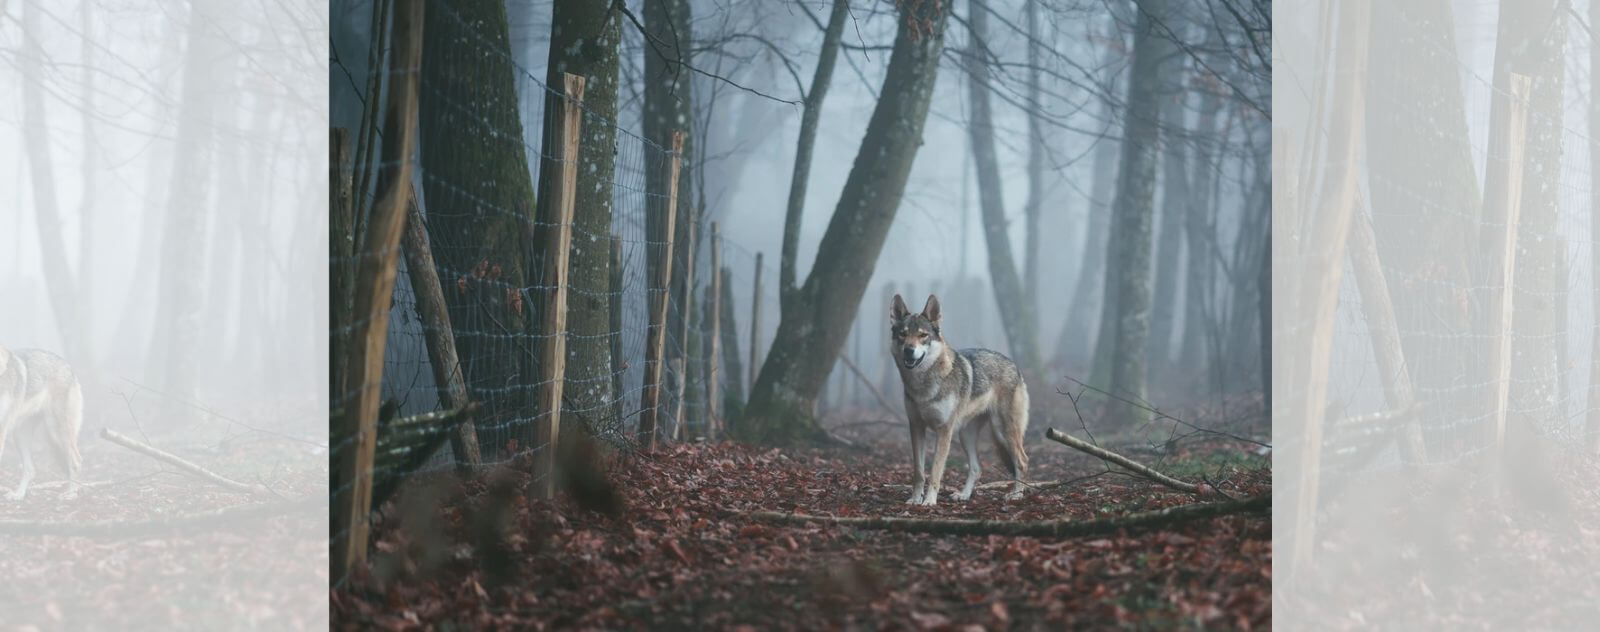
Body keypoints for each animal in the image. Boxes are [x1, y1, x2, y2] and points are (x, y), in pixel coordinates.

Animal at [0, 344, 83, 502]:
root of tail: (68, 366)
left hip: (57, 432)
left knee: (76, 461)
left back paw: (71, 493)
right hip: (20, 436)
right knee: (31, 470)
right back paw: (18, 495)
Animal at [889, 294, 1024, 508]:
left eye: (922, 335)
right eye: (903, 334)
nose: (909, 350)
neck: (923, 386)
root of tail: (1014, 364)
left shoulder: (944, 430)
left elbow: (935, 471)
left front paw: (929, 501)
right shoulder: (916, 427)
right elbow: (919, 472)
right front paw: (915, 499)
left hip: (1003, 431)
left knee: (1022, 461)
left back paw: (1017, 494)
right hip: (965, 435)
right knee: (977, 468)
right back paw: (964, 495)